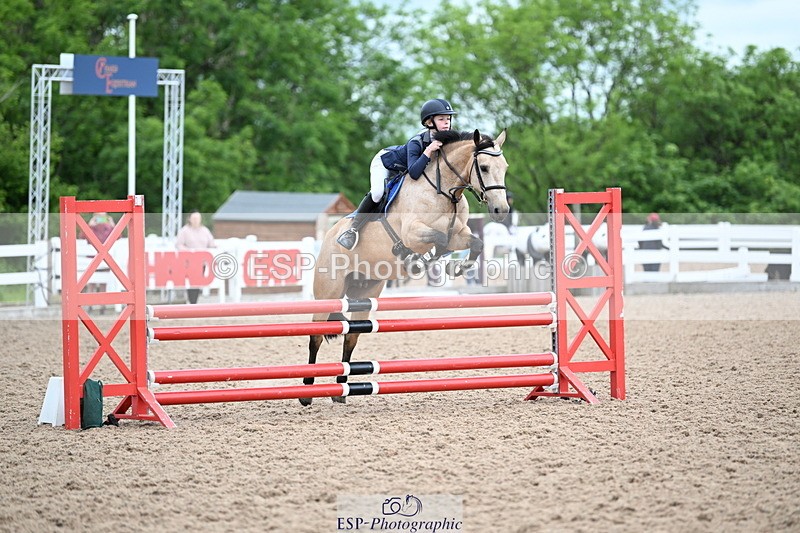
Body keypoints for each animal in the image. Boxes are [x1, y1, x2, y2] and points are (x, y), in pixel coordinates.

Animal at [301, 129, 509, 405]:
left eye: (505, 168)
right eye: (484, 167)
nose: (501, 210)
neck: (445, 192)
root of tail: (329, 235)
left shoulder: (459, 234)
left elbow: (474, 242)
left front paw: (455, 268)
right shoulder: (413, 232)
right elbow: (438, 239)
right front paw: (419, 259)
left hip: (364, 293)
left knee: (351, 336)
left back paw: (341, 391)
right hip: (328, 292)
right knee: (315, 336)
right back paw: (307, 392)